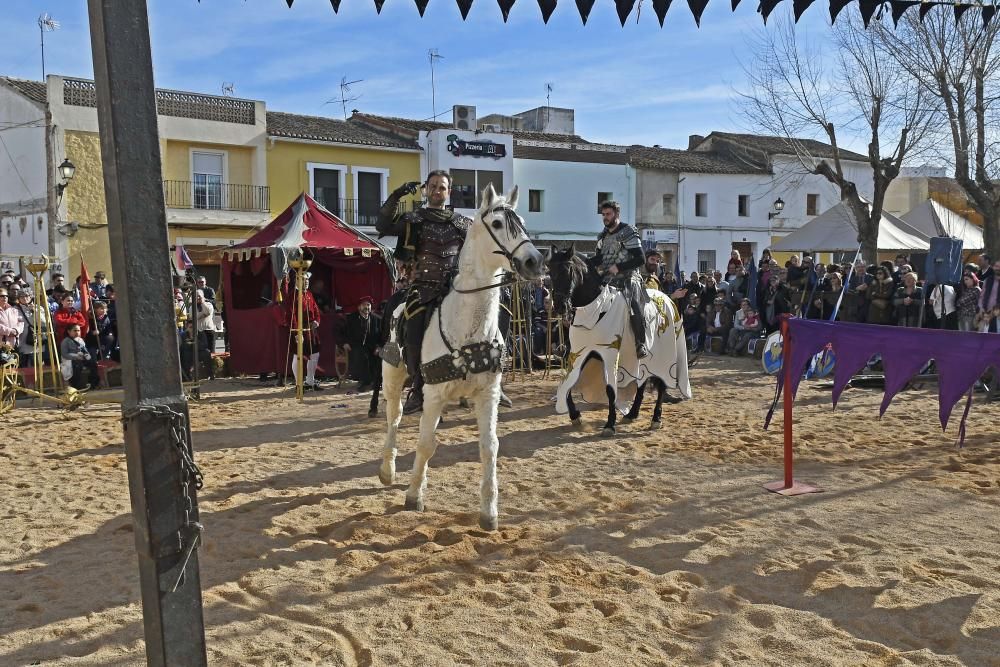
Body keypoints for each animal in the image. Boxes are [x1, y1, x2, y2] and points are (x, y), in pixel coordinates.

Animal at [378, 185, 544, 536]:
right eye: (497, 223)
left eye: (521, 222)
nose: (534, 261)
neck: (467, 324)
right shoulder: (434, 394)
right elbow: (425, 444)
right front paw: (413, 496)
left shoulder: (487, 395)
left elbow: (489, 447)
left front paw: (489, 513)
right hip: (393, 373)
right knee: (394, 417)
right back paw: (387, 469)